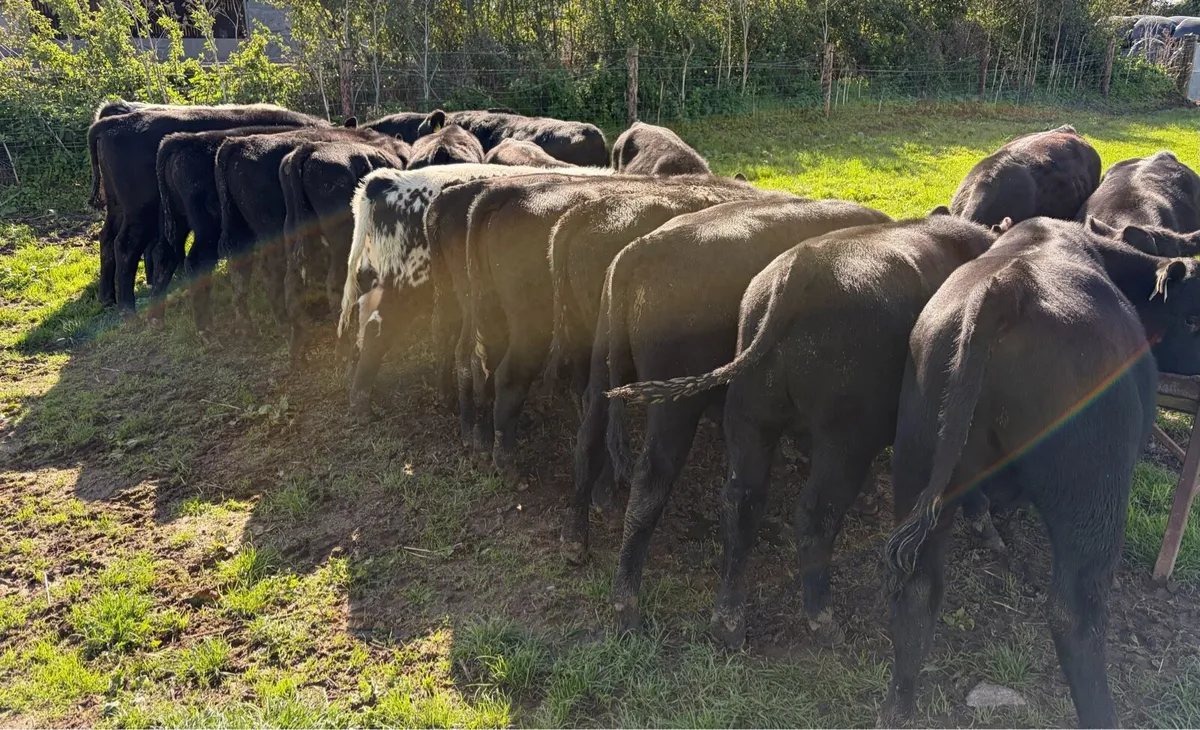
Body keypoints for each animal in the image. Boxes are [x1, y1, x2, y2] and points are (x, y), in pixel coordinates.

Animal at [88, 104, 325, 310]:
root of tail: (111, 123)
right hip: (141, 212)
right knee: (127, 246)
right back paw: (127, 307)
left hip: (122, 208)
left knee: (111, 239)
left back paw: (110, 298)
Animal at [279, 138, 410, 362]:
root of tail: (308, 149)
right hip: (342, 240)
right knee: (336, 285)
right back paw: (344, 348)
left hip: (293, 234)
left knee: (292, 286)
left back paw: (297, 354)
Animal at [566, 196, 890, 631]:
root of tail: (638, 250)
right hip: (674, 405)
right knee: (651, 475)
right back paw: (627, 603)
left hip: (603, 369)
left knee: (588, 439)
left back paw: (574, 543)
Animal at [606, 214, 1010, 647]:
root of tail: (800, 267)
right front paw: (986, 527)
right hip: (844, 436)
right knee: (816, 514)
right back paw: (821, 617)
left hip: (742, 416)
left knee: (719, 497)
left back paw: (708, 616)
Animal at [879, 217, 1200, 728]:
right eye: (1192, 318)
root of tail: (1007, 287)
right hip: (1093, 491)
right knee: (1076, 616)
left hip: (917, 455)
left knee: (915, 590)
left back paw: (897, 708)